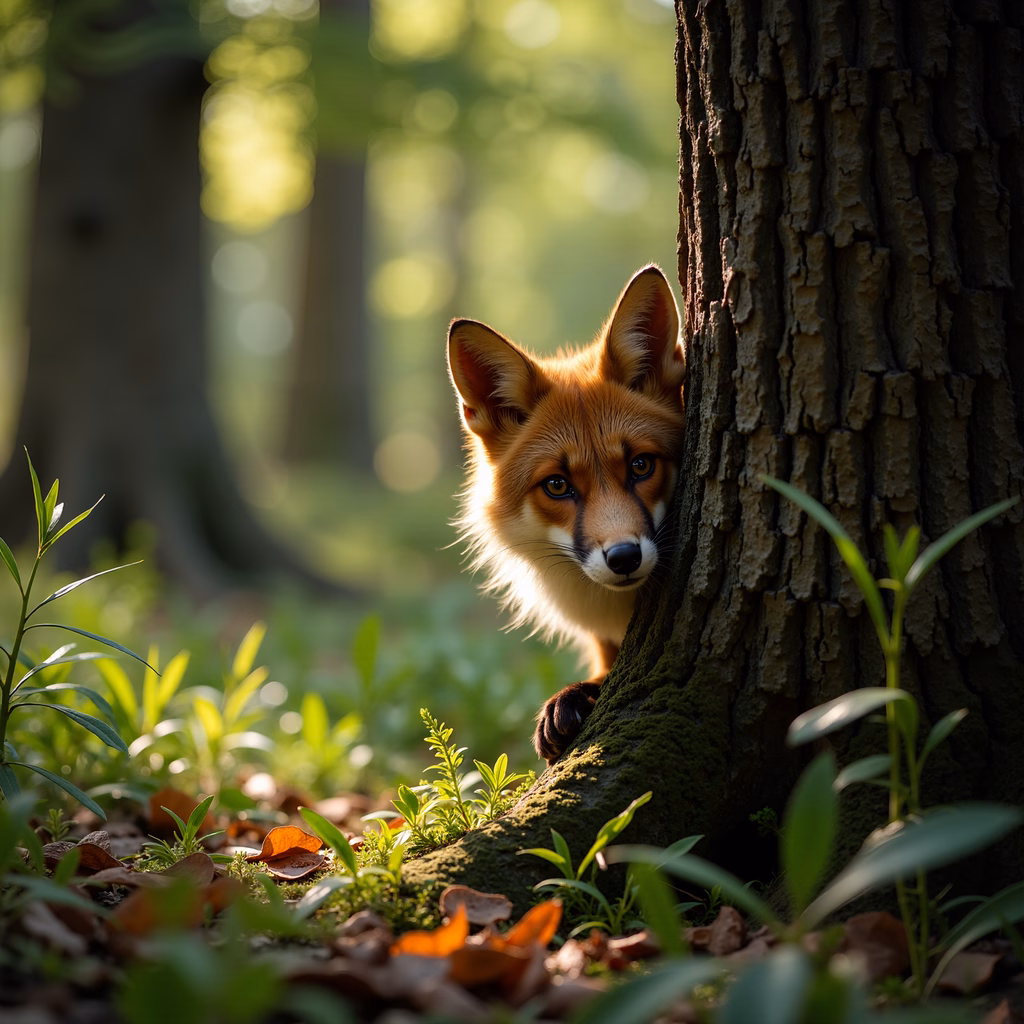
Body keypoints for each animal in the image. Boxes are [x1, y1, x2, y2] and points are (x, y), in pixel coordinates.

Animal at [447, 264, 686, 764]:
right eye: (557, 485)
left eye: (641, 465)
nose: (624, 558)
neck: (615, 613)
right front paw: (574, 699)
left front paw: (579, 697)